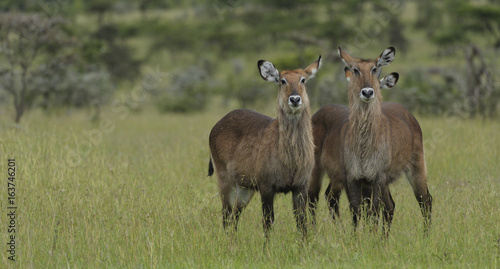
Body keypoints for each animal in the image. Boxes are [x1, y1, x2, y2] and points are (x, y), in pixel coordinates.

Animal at [208, 56, 322, 239]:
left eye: (302, 80)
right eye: (282, 81)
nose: (295, 99)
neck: (291, 159)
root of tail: (217, 125)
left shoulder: (300, 187)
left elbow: (301, 221)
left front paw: (305, 245)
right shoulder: (266, 186)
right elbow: (268, 222)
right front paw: (267, 246)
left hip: (245, 188)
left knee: (235, 215)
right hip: (225, 180)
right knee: (226, 214)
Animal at [306, 47, 432, 233]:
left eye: (374, 69)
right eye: (355, 70)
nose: (367, 92)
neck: (364, 146)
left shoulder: (377, 178)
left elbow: (373, 210)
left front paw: (370, 236)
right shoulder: (353, 177)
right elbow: (357, 210)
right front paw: (357, 236)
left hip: (417, 166)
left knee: (424, 200)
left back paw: (426, 235)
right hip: (318, 170)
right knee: (315, 198)